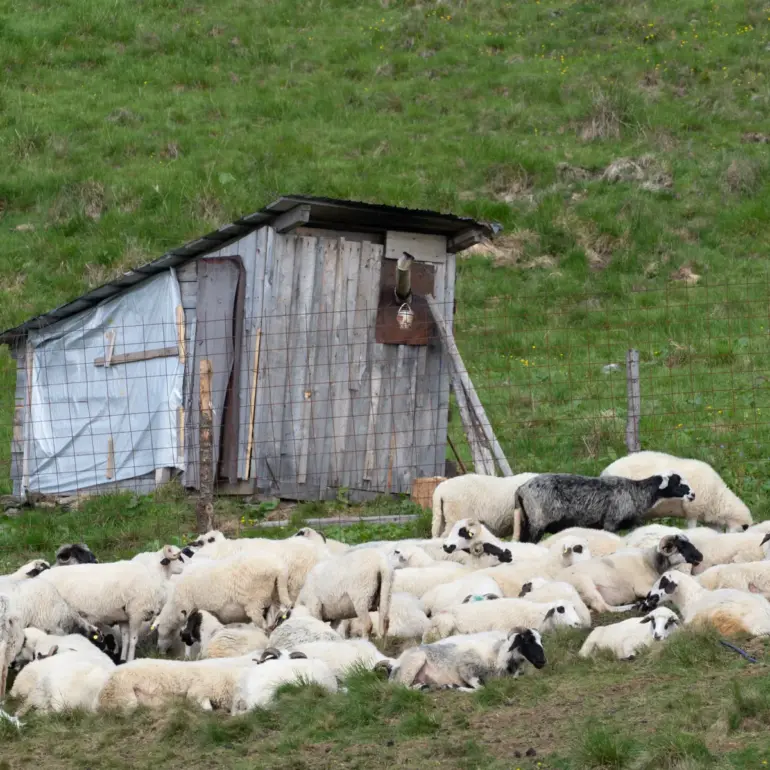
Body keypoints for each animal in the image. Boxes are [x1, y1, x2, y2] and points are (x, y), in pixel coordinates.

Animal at [153, 553, 291, 653]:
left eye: (158, 630)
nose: (159, 651)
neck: (174, 606)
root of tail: (280, 569)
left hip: (256, 603)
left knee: (264, 627)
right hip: (275, 598)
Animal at [386, 628, 546, 691]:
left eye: (540, 640)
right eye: (527, 641)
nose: (542, 661)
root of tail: (397, 662)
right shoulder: (465, 669)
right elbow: (480, 688)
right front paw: (456, 687)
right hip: (412, 665)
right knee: (400, 686)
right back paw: (421, 687)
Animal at [513, 472, 696, 543]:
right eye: (678, 483)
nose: (693, 495)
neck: (636, 492)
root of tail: (521, 489)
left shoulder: (633, 522)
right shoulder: (611, 522)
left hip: (526, 521)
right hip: (537, 522)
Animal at [557, 534, 704, 613]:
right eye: (681, 546)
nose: (700, 556)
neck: (650, 562)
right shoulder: (642, 588)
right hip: (585, 585)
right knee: (603, 607)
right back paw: (629, 606)